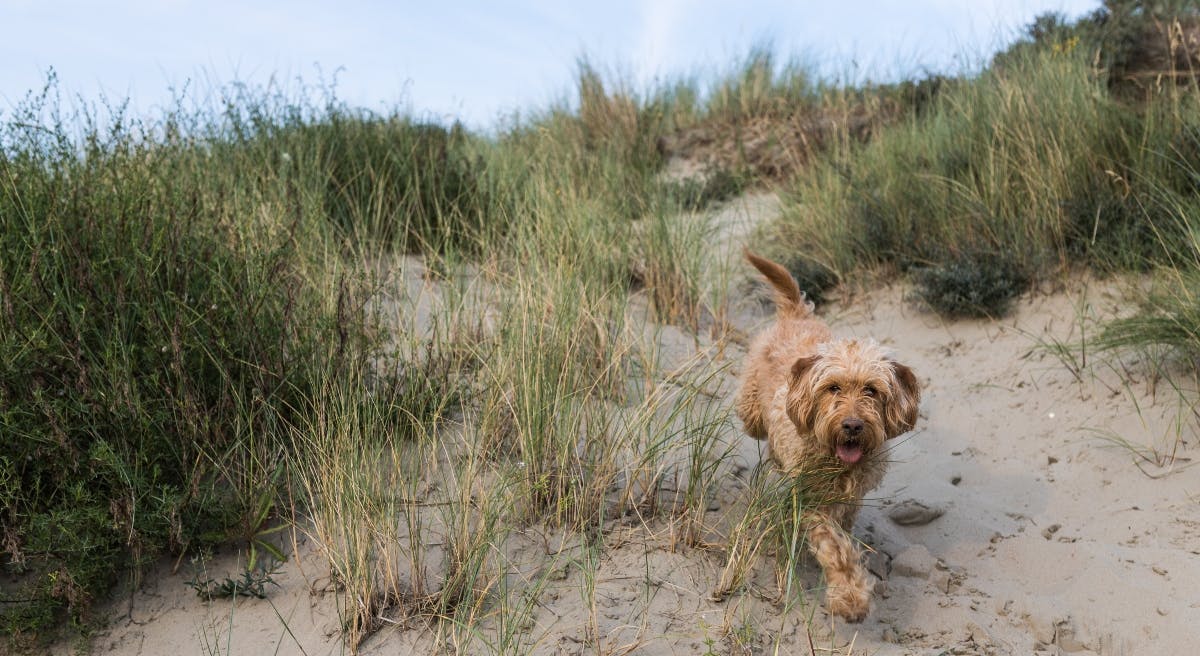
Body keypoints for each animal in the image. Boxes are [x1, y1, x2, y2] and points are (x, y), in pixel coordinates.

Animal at [729, 250, 916, 623]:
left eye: (871, 390)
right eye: (833, 388)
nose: (853, 425)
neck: (834, 460)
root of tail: (796, 313)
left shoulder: (849, 499)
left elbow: (844, 533)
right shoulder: (812, 500)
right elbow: (835, 547)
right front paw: (849, 596)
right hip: (751, 411)